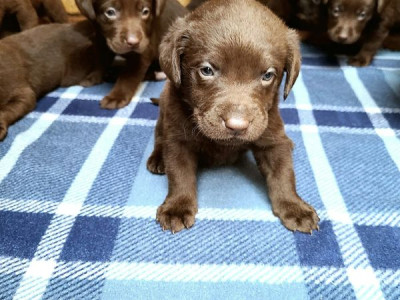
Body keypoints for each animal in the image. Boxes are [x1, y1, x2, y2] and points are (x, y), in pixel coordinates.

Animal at [147, 0, 318, 234]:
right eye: (207, 70)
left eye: (268, 75)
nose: (237, 125)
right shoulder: (178, 139)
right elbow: (179, 174)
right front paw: (177, 207)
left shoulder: (271, 136)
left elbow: (283, 174)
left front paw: (295, 207)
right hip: (164, 112)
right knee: (158, 136)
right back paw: (157, 159)